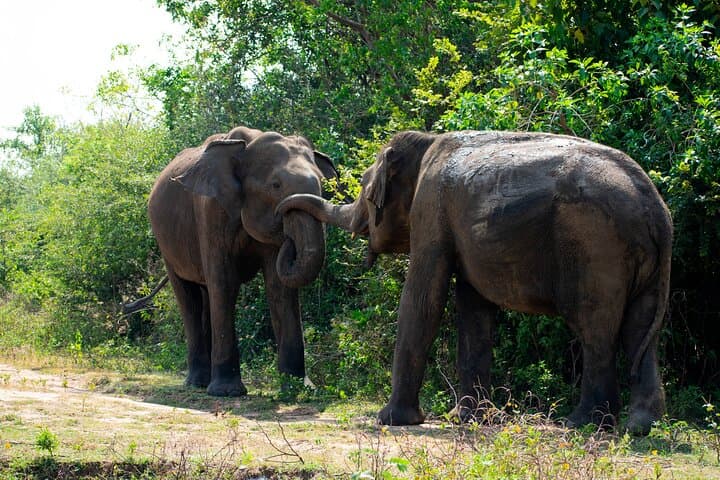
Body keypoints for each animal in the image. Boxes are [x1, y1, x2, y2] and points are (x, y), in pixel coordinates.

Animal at [148, 126, 337, 396]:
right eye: (275, 185)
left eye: (323, 184)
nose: (288, 237)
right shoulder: (211, 211)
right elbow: (225, 282)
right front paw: (227, 392)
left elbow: (279, 289)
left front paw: (297, 390)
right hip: (166, 244)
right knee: (190, 298)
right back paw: (197, 383)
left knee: (206, 295)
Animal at [277, 130, 673, 435]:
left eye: (363, 187)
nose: (282, 221)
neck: (426, 142)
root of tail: (654, 204)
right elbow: (473, 307)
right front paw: (467, 418)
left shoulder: (431, 208)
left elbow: (424, 298)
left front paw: (391, 420)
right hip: (638, 256)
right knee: (640, 329)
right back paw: (641, 426)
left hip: (595, 246)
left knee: (595, 329)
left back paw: (582, 424)